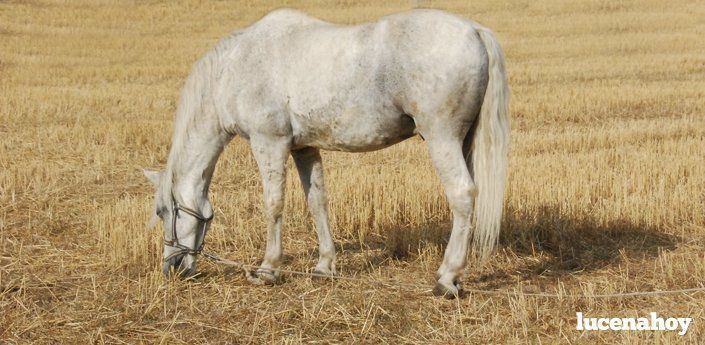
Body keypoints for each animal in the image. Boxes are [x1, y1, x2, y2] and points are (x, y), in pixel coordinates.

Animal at [143, 8, 508, 296]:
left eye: (163, 211)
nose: (172, 267)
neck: (236, 67)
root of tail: (474, 30)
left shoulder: (269, 143)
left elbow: (273, 204)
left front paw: (268, 269)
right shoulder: (304, 149)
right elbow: (316, 201)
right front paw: (324, 265)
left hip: (441, 137)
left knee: (462, 195)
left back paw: (447, 278)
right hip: (463, 142)